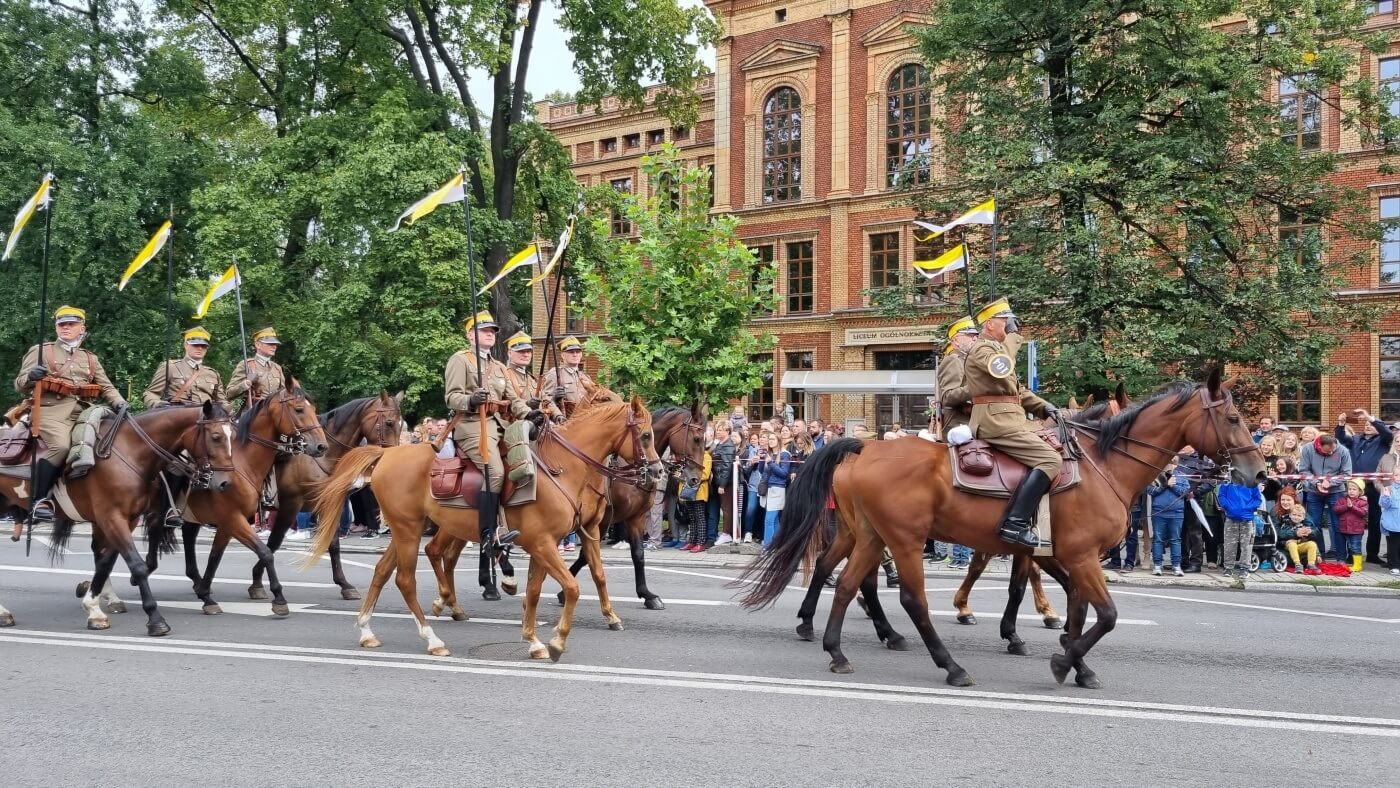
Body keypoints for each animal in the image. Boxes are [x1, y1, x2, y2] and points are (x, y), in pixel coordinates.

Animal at [37, 403, 238, 638]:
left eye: (233, 436)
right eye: (216, 437)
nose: (226, 483)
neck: (131, 452)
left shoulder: (128, 518)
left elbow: (108, 561)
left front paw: (94, 605)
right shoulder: (116, 517)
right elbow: (139, 564)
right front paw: (157, 619)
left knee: (98, 551)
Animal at [154, 386, 327, 618]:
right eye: (299, 409)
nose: (321, 446)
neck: (242, 464)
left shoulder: (229, 523)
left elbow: (215, 558)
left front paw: (206, 595)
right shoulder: (234, 519)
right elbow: (266, 552)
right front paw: (278, 597)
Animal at [252, 391, 403, 601]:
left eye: (402, 424)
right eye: (389, 422)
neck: (322, 457)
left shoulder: (329, 505)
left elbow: (333, 544)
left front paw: (344, 584)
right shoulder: (290, 506)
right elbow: (274, 543)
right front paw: (257, 580)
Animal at [303, 397, 663, 663]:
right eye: (646, 435)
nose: (659, 472)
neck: (561, 468)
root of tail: (386, 454)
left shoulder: (565, 538)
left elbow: (544, 589)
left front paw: (534, 640)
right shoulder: (543, 543)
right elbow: (573, 587)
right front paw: (558, 641)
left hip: (409, 528)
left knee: (382, 571)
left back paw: (368, 631)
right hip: (409, 530)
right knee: (407, 579)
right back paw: (433, 637)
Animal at [739, 369, 1265, 691]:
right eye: (1232, 417)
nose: (1258, 473)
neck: (1103, 465)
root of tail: (866, 447)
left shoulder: (1066, 555)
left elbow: (1074, 610)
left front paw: (1073, 660)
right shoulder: (1076, 555)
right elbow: (1105, 614)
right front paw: (1060, 658)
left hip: (870, 535)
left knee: (848, 582)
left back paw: (836, 647)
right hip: (904, 539)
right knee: (908, 598)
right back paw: (949, 665)